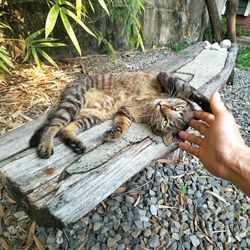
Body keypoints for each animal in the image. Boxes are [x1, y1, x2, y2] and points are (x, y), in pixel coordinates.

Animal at [29, 72, 211, 158]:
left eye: (166, 122)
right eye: (175, 108)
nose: (162, 106)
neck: (149, 107)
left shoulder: (124, 112)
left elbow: (122, 126)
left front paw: (114, 133)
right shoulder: (167, 77)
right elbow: (191, 91)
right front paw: (208, 106)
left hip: (91, 116)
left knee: (65, 129)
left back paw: (75, 143)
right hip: (73, 103)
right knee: (52, 127)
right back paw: (46, 145)